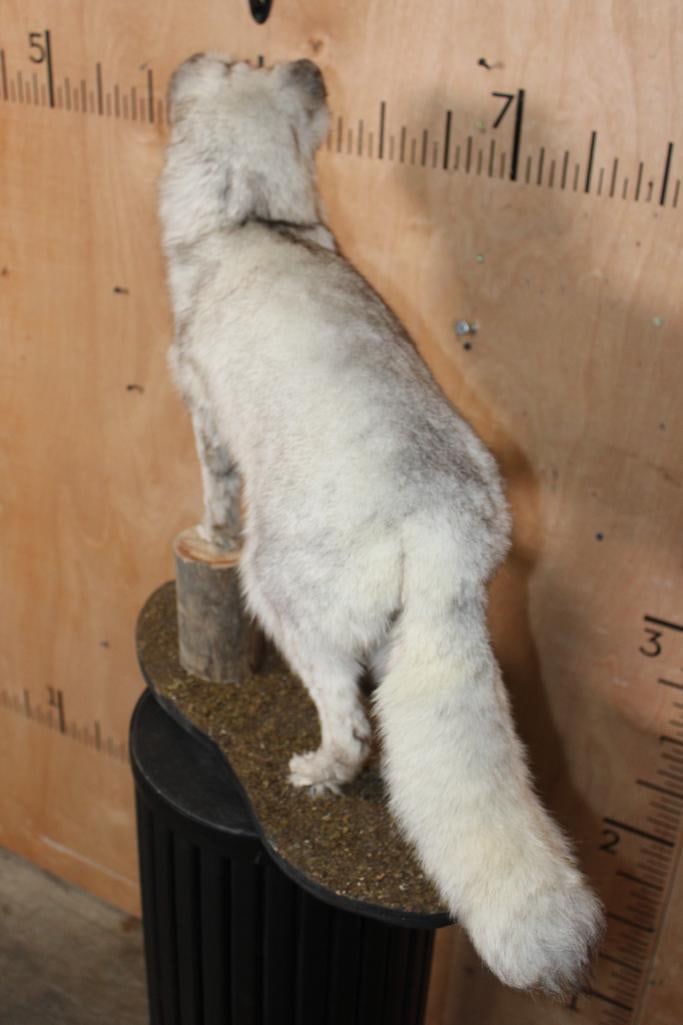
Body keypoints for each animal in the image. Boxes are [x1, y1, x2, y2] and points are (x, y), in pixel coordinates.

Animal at [159, 52, 603, 994]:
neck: (258, 222)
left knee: (355, 724)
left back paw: (319, 774)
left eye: (235, 61)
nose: (297, 61)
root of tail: (445, 530)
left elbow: (214, 497)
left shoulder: (203, 413)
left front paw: (205, 533)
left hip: (275, 590)